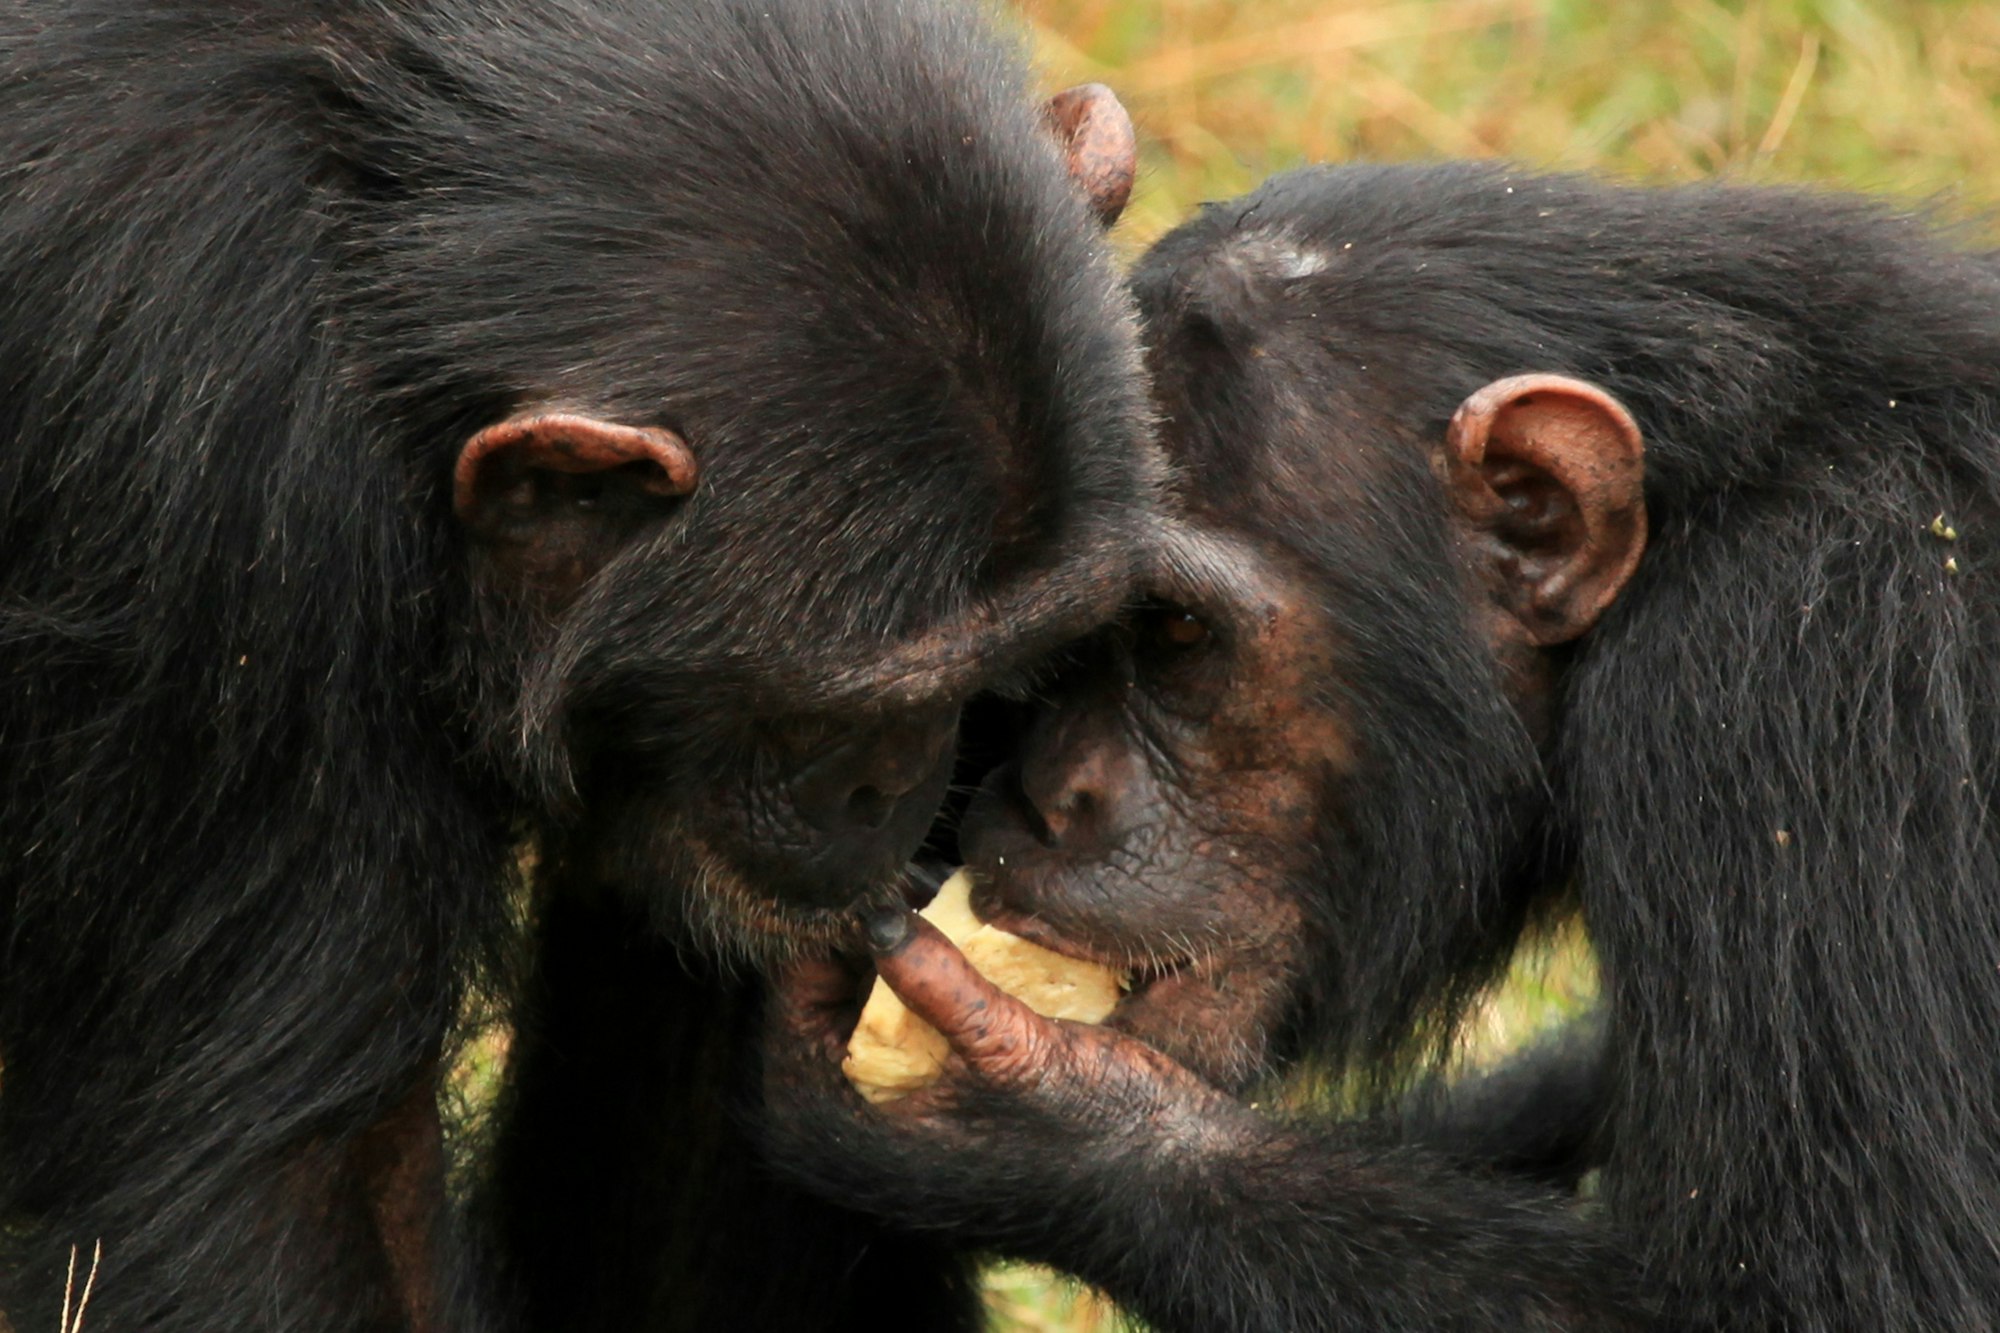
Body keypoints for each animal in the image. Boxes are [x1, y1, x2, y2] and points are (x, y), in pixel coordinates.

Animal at [764, 161, 2000, 1320]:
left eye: (1170, 631)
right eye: (1061, 639)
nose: (1049, 795)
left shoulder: (1802, 672)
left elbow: (1832, 1295)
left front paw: (1030, 1115)